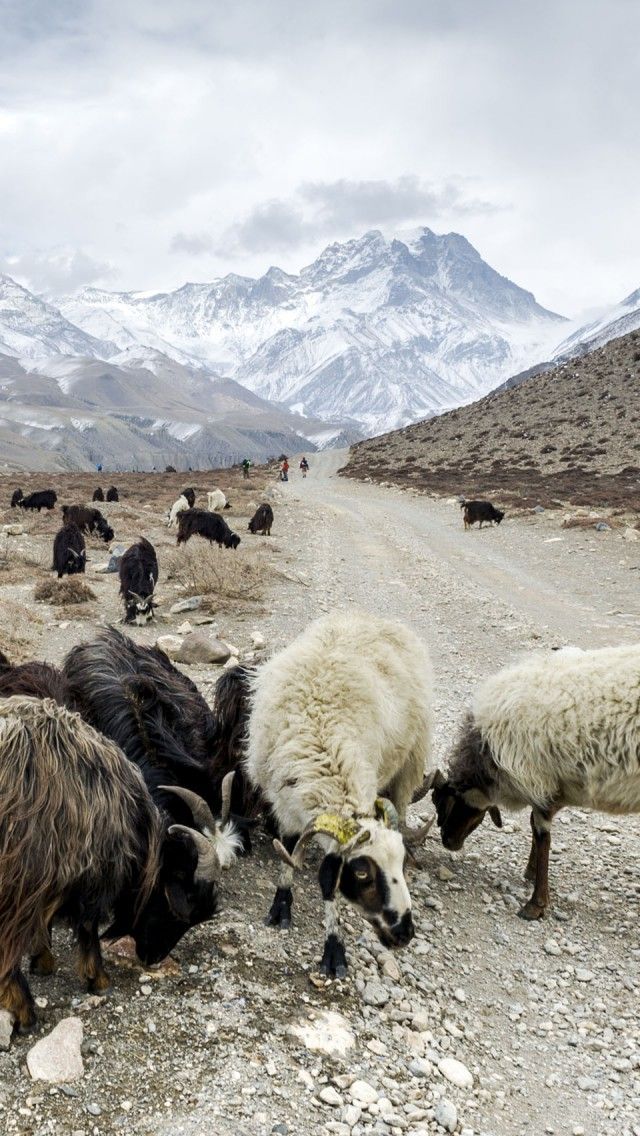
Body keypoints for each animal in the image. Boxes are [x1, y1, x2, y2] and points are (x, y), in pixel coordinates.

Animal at [0, 696, 238, 1034]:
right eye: (184, 901)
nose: (153, 956)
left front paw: (43, 960)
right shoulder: (75, 874)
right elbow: (87, 927)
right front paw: (98, 980)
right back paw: (26, 1013)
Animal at [238, 610, 435, 977]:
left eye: (400, 864)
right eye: (362, 872)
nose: (405, 933)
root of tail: (368, 615)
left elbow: (328, 885)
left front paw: (333, 949)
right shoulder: (286, 805)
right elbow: (293, 855)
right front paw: (282, 905)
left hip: (409, 760)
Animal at [431, 644, 640, 921]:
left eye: (445, 804)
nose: (447, 841)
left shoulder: (538, 779)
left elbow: (542, 836)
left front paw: (536, 904)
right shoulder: (554, 788)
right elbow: (534, 826)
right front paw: (531, 873)